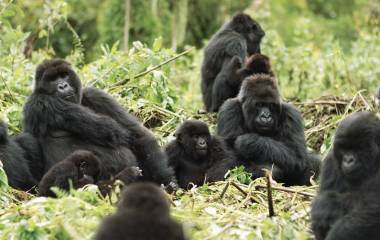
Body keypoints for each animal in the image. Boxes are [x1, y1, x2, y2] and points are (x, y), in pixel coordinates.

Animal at [24, 59, 176, 187]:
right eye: (52, 79)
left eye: (64, 75)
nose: (62, 85)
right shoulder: (40, 102)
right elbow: (113, 131)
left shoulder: (96, 95)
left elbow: (136, 134)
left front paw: (166, 180)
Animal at [310, 112, 380, 240]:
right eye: (344, 148)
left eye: (359, 148)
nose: (348, 160)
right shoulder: (330, 162)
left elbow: (370, 208)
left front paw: (331, 206)